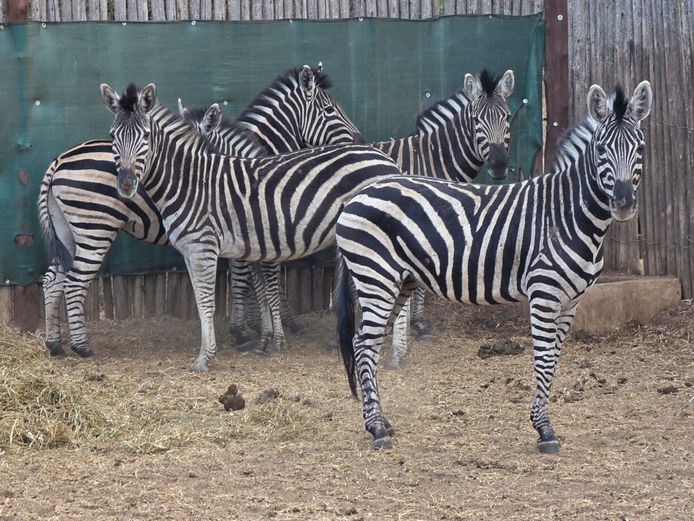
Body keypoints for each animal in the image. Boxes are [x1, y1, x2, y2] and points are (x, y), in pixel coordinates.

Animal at [39, 64, 360, 357]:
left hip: (69, 231)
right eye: (330, 110)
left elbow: (249, 279)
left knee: (53, 281)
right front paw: (252, 329)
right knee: (74, 282)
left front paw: (253, 328)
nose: (358, 139)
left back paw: (55, 344)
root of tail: (58, 159)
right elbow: (247, 280)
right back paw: (82, 347)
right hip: (95, 229)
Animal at [98, 82, 404, 372]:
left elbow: (211, 302)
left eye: (145, 136)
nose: (125, 184)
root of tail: (387, 161)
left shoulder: (206, 248)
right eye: (112, 136)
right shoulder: (193, 250)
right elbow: (206, 299)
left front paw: (206, 357)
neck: (190, 182)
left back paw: (394, 353)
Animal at [370, 69, 515, 369]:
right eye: (476, 120)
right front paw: (412, 331)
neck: (431, 160)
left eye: (507, 116)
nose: (498, 166)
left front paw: (415, 326)